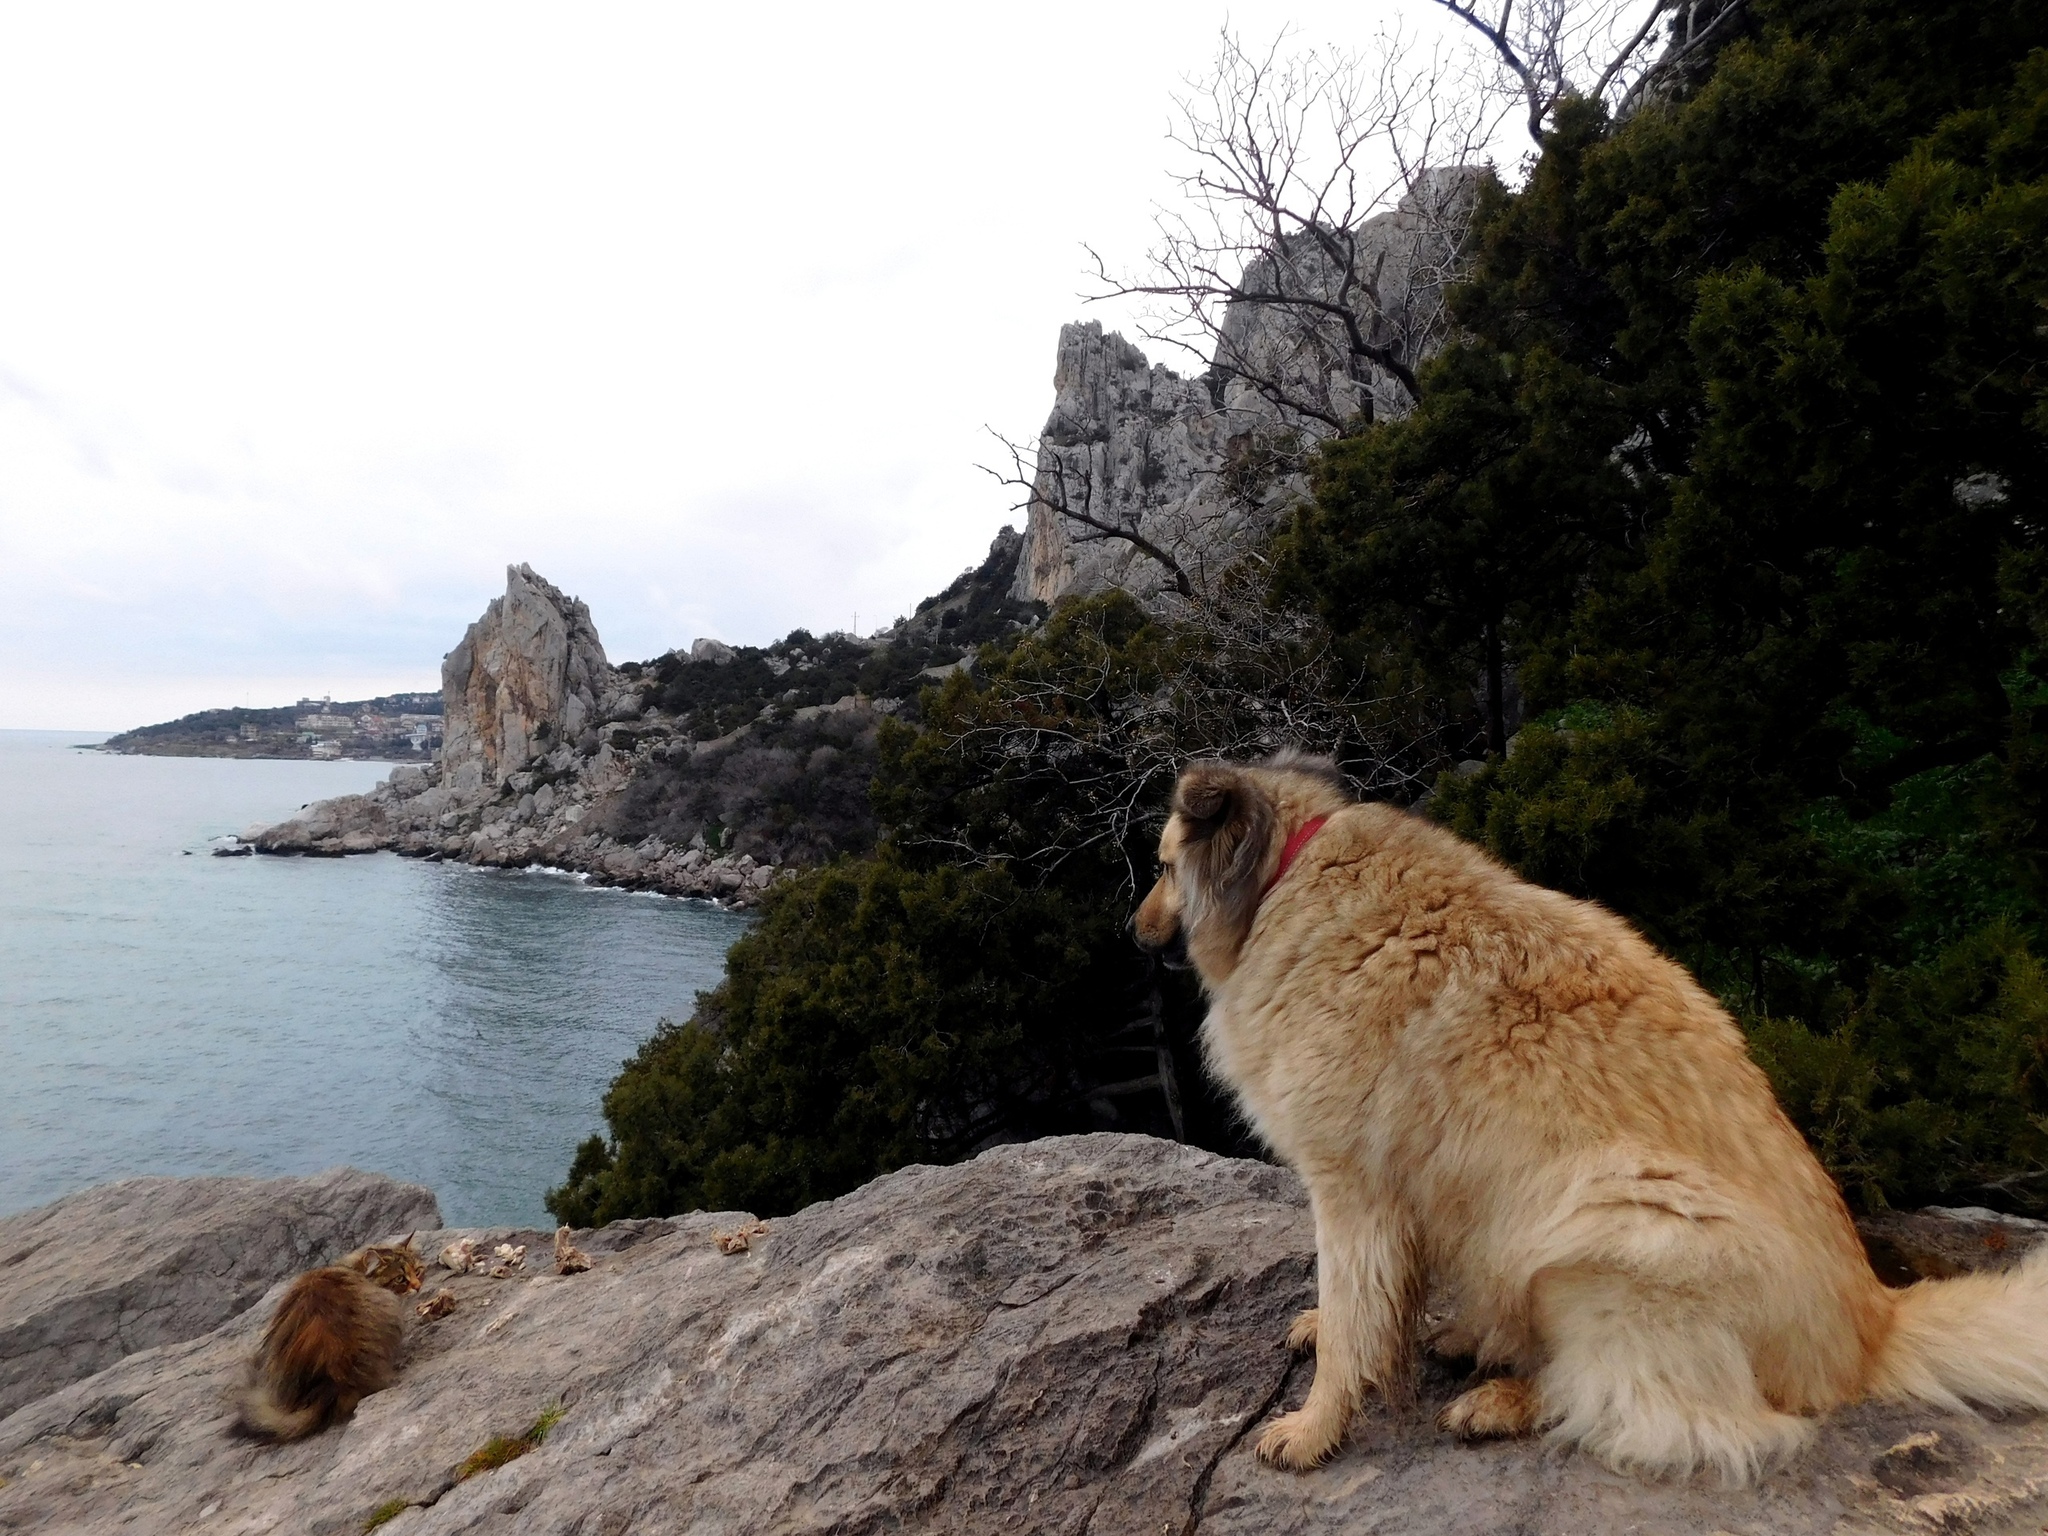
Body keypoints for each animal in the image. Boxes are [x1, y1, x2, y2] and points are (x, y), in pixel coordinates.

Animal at [1130, 753, 2048, 1482]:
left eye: (1166, 866)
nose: (1134, 935)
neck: (1284, 881)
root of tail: (1873, 1326)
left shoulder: (1351, 1189)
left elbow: (1356, 1314)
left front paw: (1314, 1427)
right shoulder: (1401, 1193)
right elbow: (1374, 1303)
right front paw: (1334, 1332)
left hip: (1612, 1216)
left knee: (1652, 1407)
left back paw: (1502, 1399)